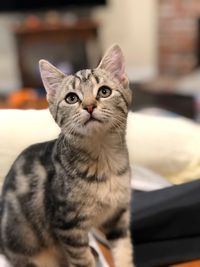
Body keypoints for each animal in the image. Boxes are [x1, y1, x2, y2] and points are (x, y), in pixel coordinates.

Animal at [0, 45, 134, 266]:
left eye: (104, 91)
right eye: (72, 98)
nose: (89, 106)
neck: (104, 160)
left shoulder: (118, 216)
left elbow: (123, 252)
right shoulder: (67, 225)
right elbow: (83, 260)